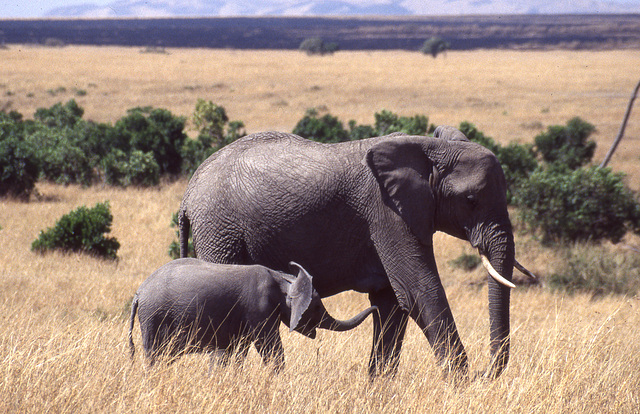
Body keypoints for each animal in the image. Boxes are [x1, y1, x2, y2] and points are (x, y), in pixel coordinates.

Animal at [128, 258, 378, 372]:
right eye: (316, 307)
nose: (375, 306)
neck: (283, 278)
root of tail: (139, 293)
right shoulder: (259, 309)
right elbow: (271, 348)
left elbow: (236, 352)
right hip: (153, 317)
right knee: (155, 354)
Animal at [179, 128, 528, 380]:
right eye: (471, 200)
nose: (484, 372)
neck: (429, 148)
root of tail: (188, 193)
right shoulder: (387, 214)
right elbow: (418, 290)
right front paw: (460, 383)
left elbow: (391, 303)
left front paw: (379, 388)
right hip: (219, 229)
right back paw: (221, 382)